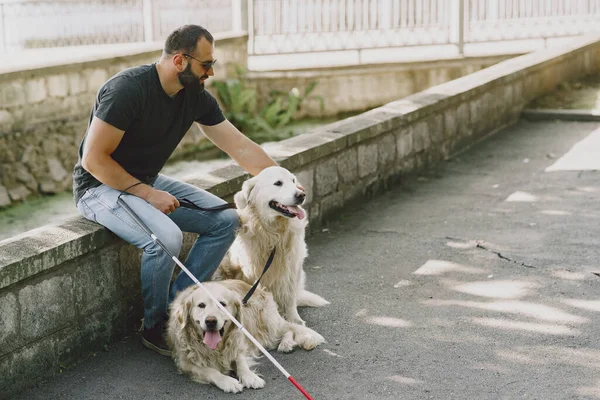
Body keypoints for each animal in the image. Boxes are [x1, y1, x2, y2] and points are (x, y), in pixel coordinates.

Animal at [165, 278, 324, 394]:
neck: (216, 348)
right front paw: (227, 381)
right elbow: (210, 370)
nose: (210, 321)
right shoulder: (185, 363)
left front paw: (250, 376)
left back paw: (286, 343)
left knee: (288, 328)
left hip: (267, 323)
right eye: (201, 305)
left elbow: (241, 361)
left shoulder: (239, 344)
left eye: (222, 304)